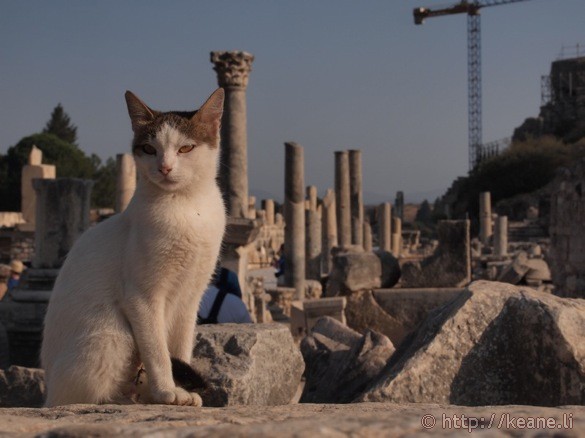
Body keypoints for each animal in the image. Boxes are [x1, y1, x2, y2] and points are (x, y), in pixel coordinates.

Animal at [40, 88, 226, 408]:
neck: (187, 206)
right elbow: (158, 352)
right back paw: (121, 400)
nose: (165, 167)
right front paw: (166, 392)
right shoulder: (142, 297)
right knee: (79, 396)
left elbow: (179, 350)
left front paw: (172, 391)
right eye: (149, 149)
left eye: (186, 148)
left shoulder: (191, 298)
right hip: (112, 335)